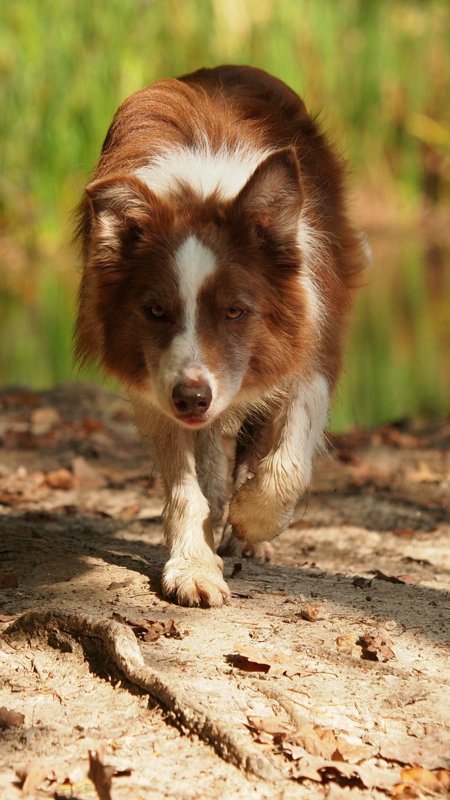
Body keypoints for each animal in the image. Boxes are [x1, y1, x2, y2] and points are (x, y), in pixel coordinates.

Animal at [74, 65, 366, 608]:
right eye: (155, 311)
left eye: (235, 311)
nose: (192, 398)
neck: (199, 191)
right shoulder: (156, 379)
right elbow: (188, 488)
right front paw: (193, 566)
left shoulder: (311, 339)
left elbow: (287, 464)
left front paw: (253, 518)